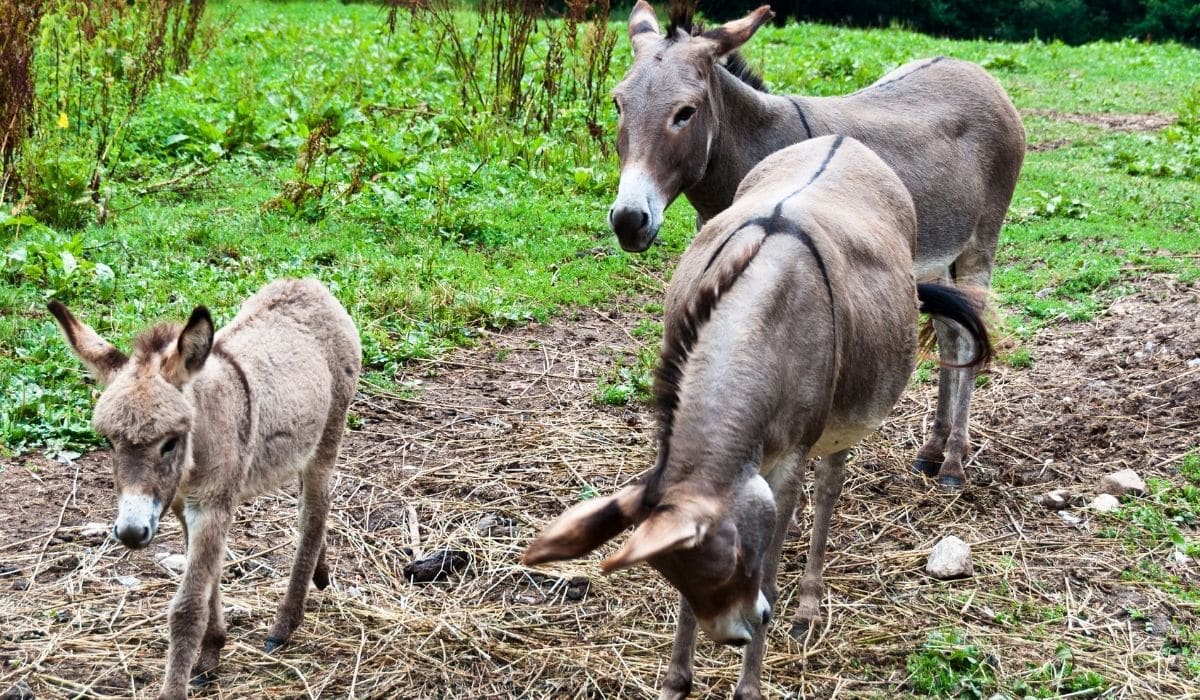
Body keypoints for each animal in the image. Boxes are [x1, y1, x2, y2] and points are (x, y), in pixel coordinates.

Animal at [49, 279, 357, 700]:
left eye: (169, 443)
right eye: (109, 442)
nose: (130, 533)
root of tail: (308, 284)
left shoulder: (212, 507)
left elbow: (188, 607)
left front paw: (178, 686)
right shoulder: (182, 507)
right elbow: (208, 582)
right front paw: (211, 653)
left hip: (328, 437)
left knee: (314, 513)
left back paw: (284, 626)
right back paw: (320, 575)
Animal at [530, 134, 988, 696]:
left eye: (735, 559)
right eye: (677, 574)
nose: (738, 633)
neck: (760, 322)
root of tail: (843, 139)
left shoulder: (789, 460)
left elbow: (771, 565)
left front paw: (748, 685)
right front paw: (676, 680)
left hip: (842, 419)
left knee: (830, 485)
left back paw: (808, 604)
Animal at [609, 1, 1022, 487]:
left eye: (685, 112)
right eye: (618, 104)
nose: (628, 220)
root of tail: (976, 72)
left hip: (980, 243)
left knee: (970, 334)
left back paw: (954, 462)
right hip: (936, 259)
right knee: (951, 335)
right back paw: (932, 451)